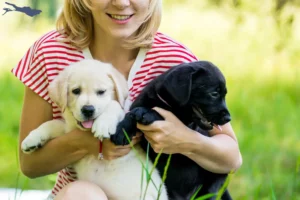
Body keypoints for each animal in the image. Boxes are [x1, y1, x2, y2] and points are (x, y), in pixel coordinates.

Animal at [21, 59, 169, 200]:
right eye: (76, 91)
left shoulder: (125, 112)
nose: (88, 109)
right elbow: (52, 123)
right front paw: (31, 139)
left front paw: (103, 125)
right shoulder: (68, 131)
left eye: (101, 92)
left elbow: (114, 105)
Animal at [111, 61, 233, 200]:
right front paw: (122, 131)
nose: (228, 118)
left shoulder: (183, 126)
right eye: (214, 94)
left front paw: (146, 112)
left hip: (215, 179)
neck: (165, 102)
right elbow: (131, 113)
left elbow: (161, 114)